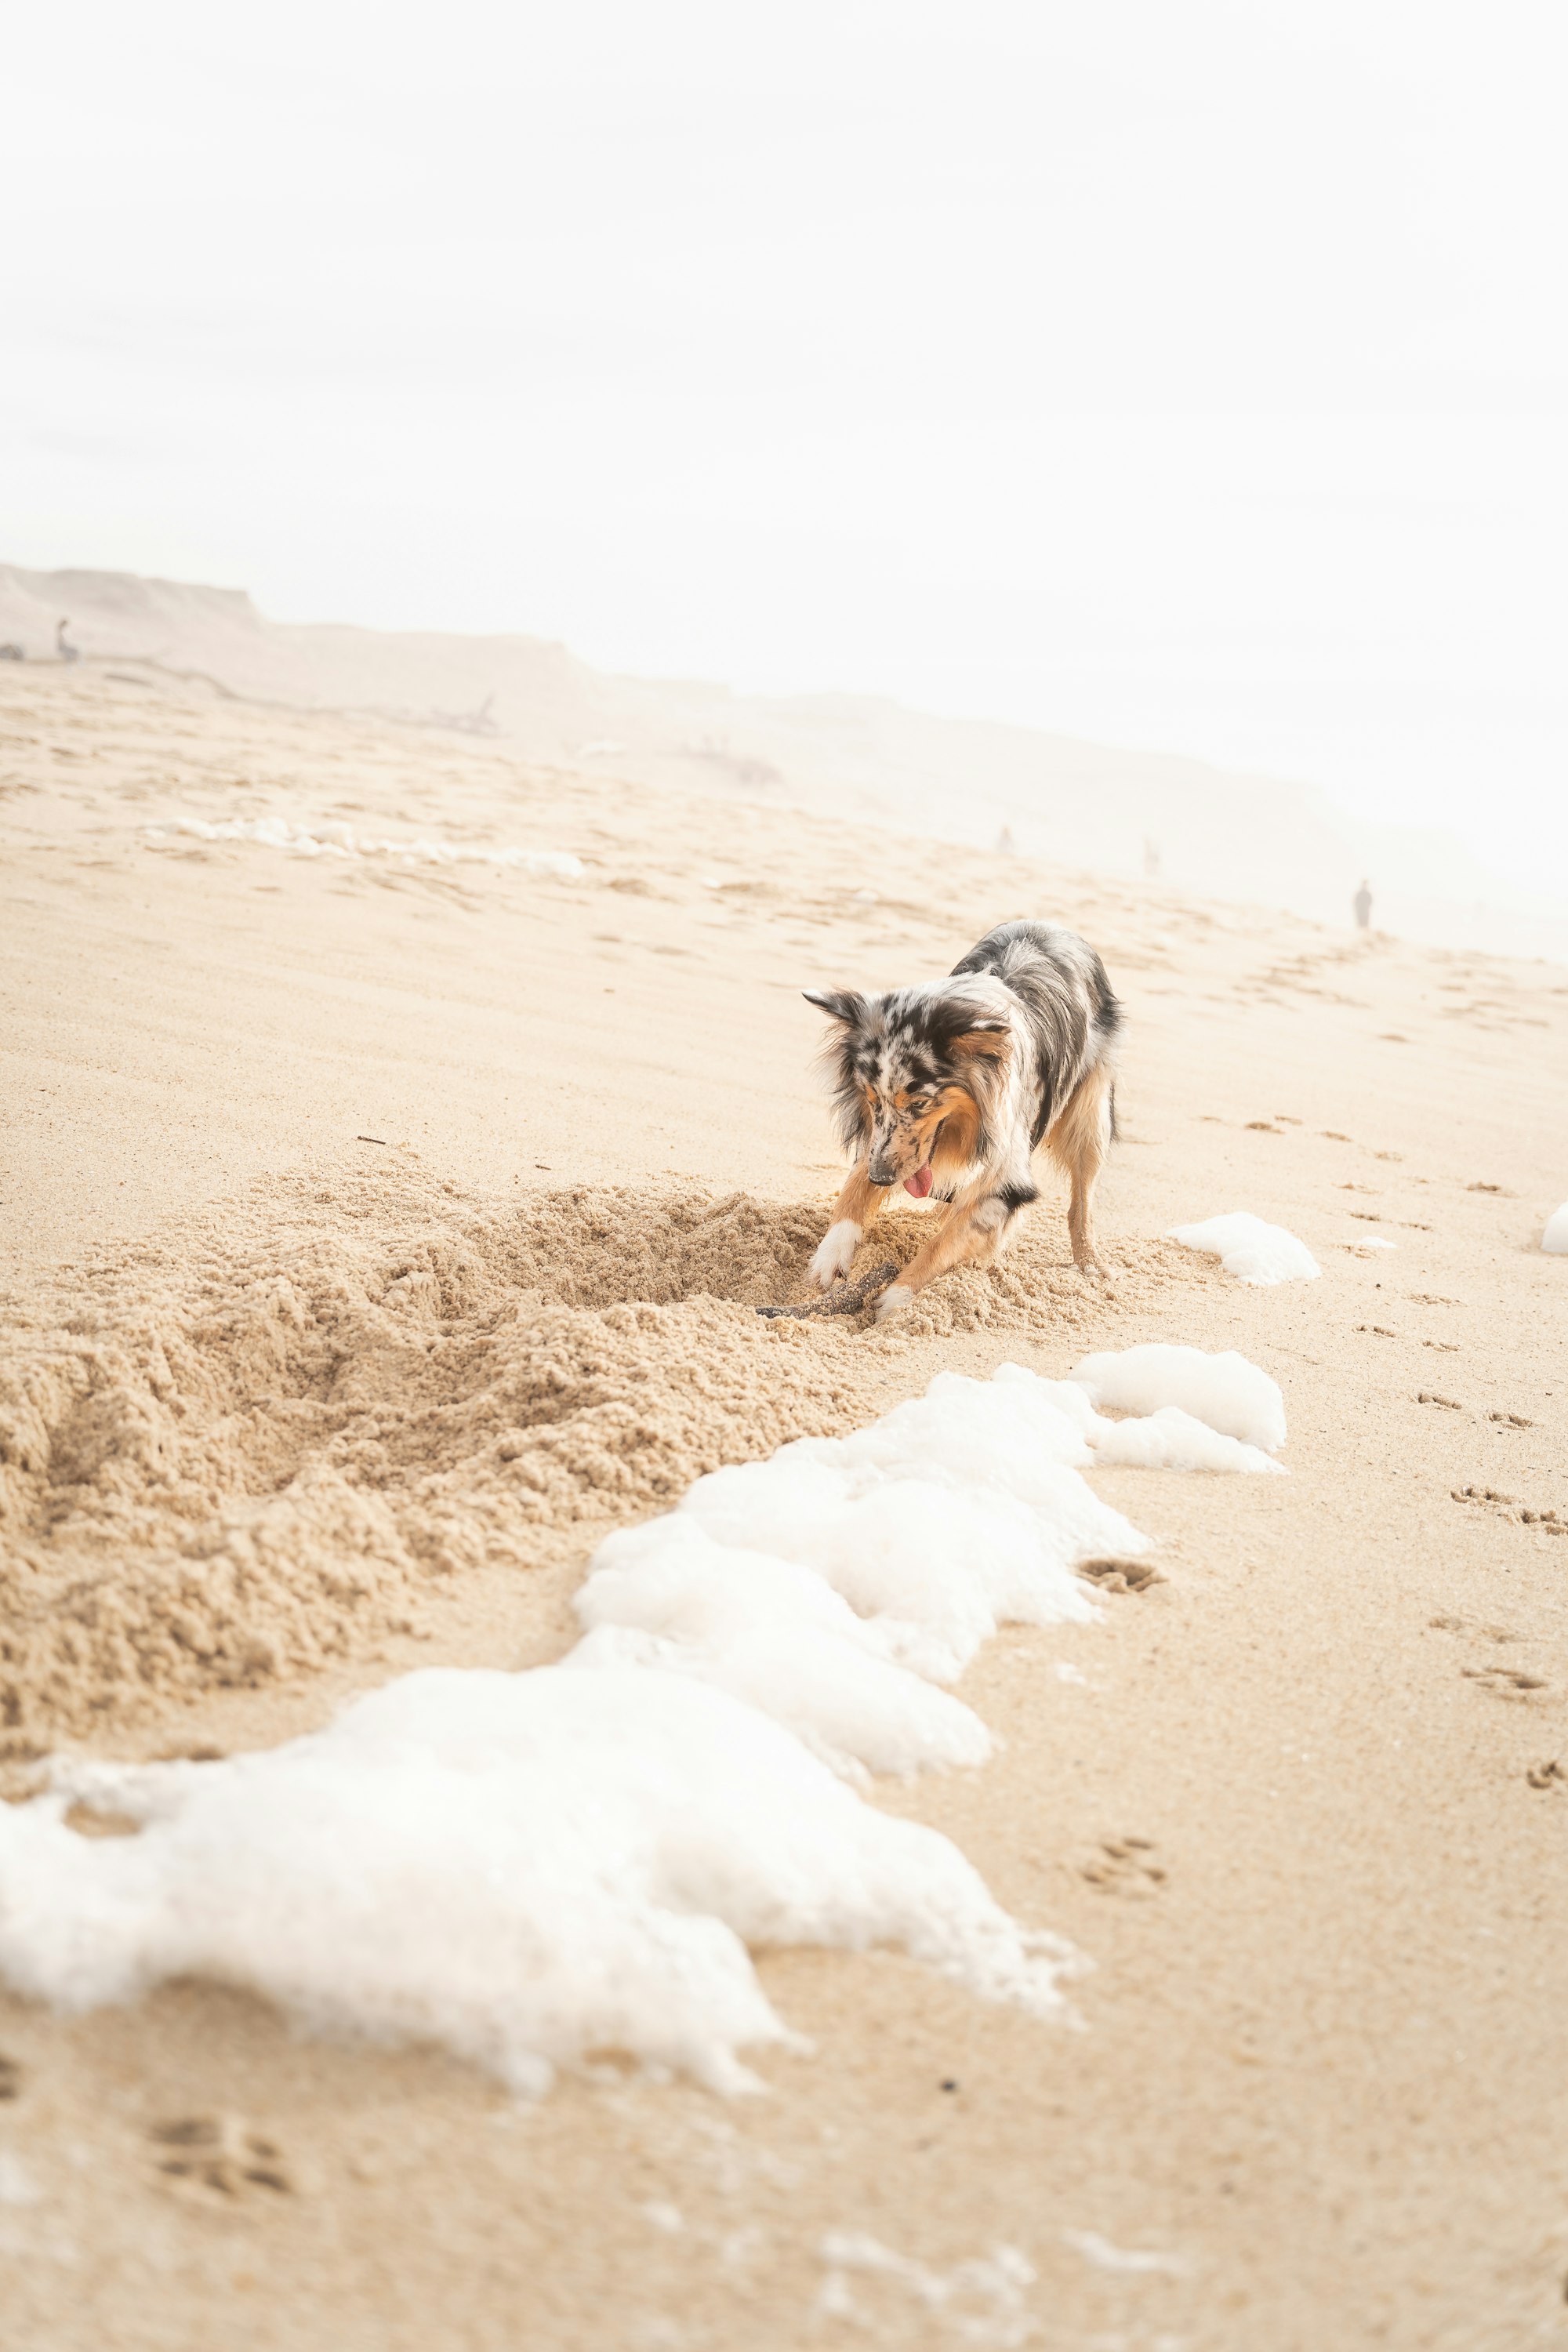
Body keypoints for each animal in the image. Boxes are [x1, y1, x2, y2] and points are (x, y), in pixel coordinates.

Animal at [804, 917, 1123, 1327]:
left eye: (920, 1103)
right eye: (872, 1099)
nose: (883, 1179)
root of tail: (1051, 923)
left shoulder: (1006, 1172)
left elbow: (943, 1243)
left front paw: (897, 1298)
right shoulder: (878, 1144)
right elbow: (854, 1189)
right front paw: (829, 1257)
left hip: (1090, 1115)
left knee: (1082, 1198)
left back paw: (1089, 1263)